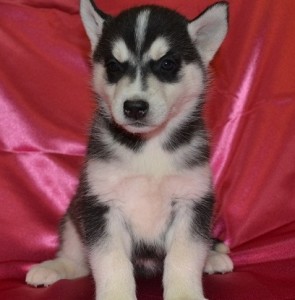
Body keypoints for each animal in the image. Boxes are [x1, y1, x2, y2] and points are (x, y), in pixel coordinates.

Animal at [27, 0, 235, 298]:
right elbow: (111, 260)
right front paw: (116, 293)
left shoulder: (192, 201)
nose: (135, 107)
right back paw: (54, 267)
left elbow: (184, 255)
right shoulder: (101, 204)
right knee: (78, 261)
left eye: (167, 64)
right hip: (73, 216)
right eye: (114, 66)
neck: (148, 147)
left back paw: (213, 257)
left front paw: (184, 292)